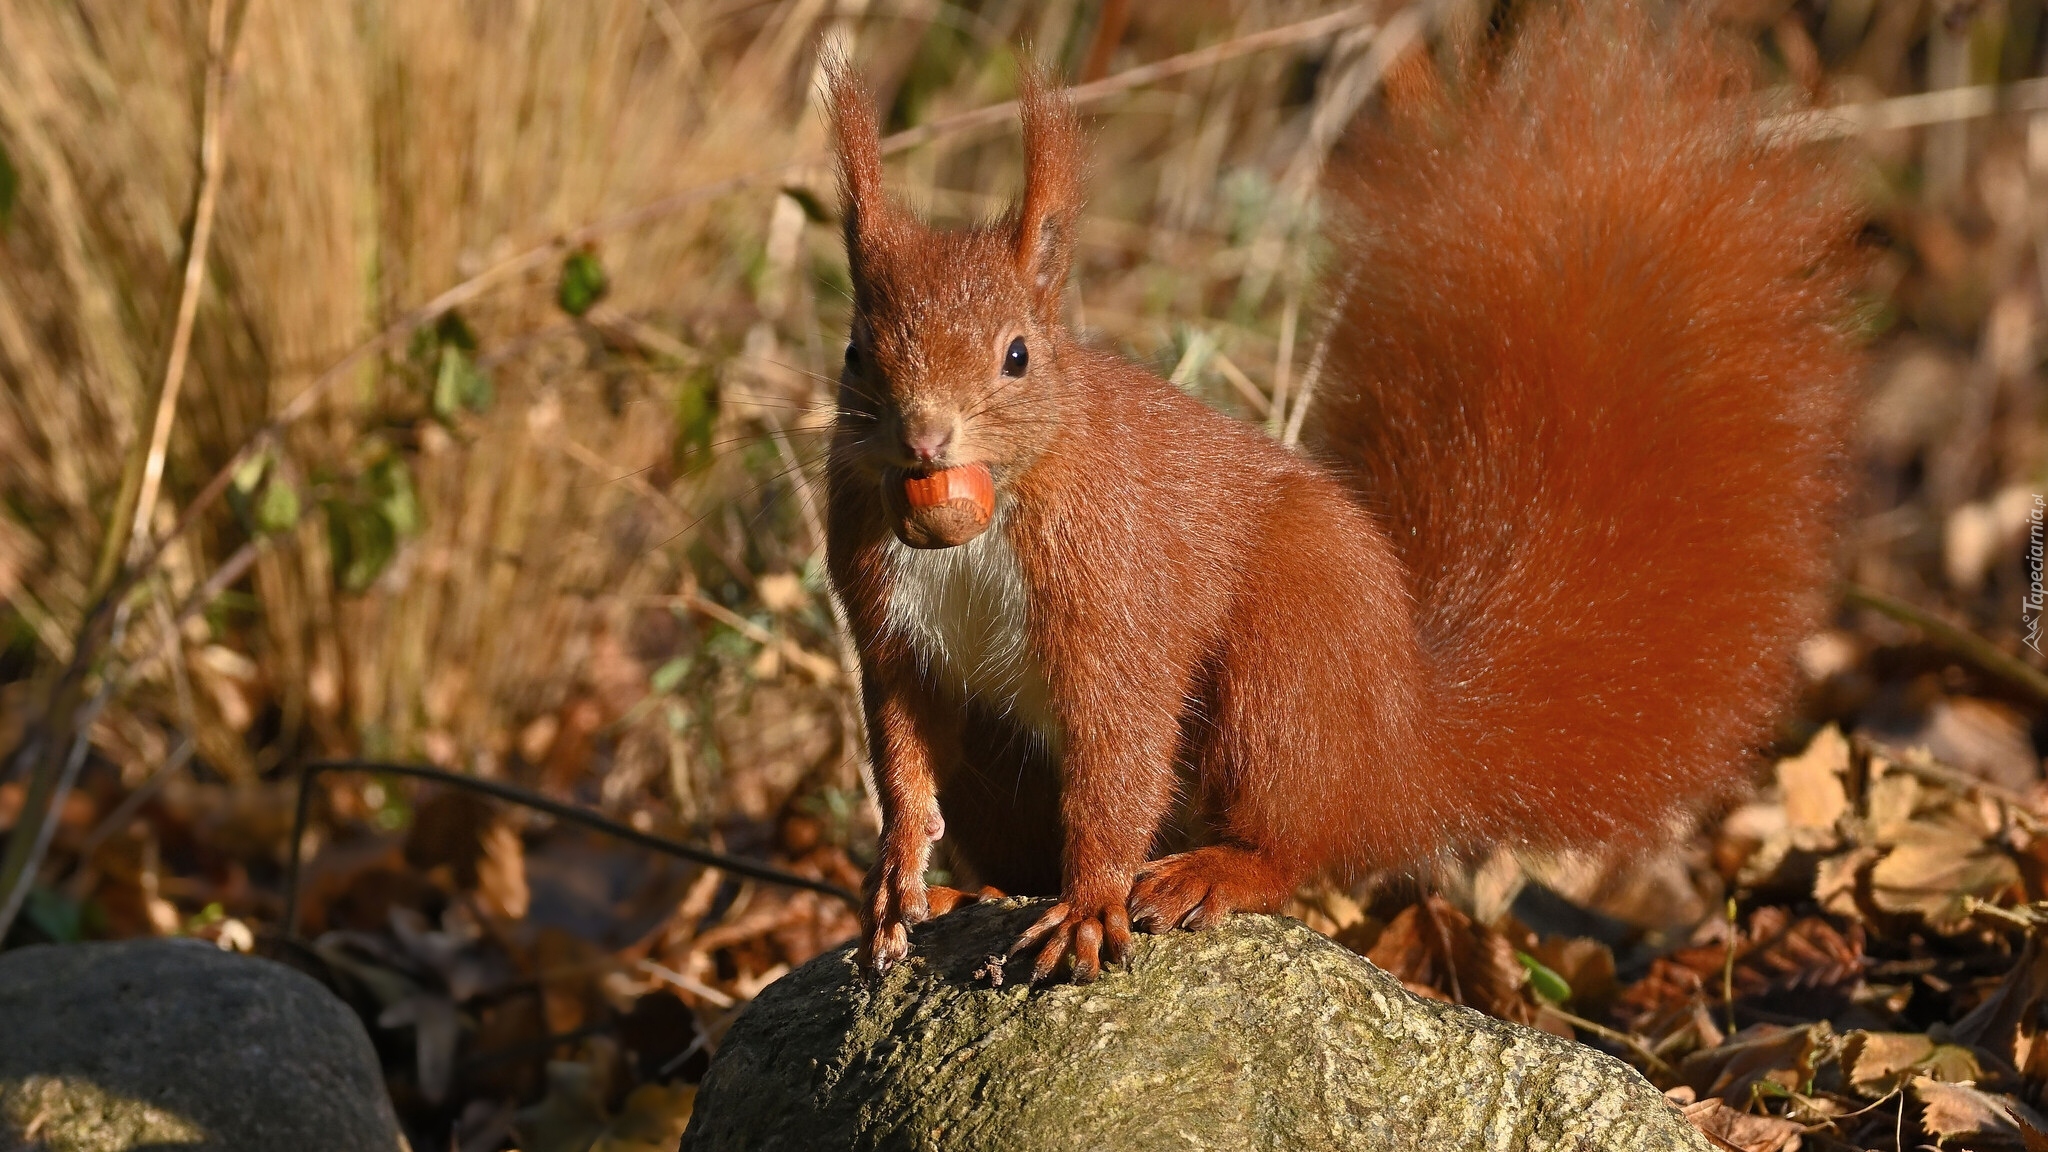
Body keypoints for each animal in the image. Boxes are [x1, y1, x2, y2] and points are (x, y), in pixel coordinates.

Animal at [815, 4, 1859, 983]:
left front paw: (1090, 904)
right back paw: (973, 891)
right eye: (856, 352)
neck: (985, 517)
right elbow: (903, 753)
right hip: (1010, 768)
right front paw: (897, 877)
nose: (925, 438)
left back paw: (1212, 872)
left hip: (1289, 665)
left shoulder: (1117, 592)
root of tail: (1402, 746)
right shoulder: (890, 626)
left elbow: (1120, 753)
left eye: (1018, 357)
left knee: (1295, 840)